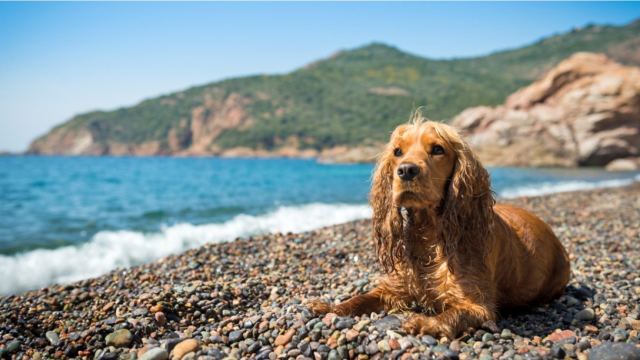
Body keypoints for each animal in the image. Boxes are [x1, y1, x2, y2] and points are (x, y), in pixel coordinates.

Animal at [308, 114, 568, 338]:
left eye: (437, 149)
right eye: (397, 152)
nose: (406, 170)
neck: (429, 234)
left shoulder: (478, 304)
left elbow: (453, 314)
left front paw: (425, 322)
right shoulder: (395, 287)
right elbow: (360, 298)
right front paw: (330, 307)